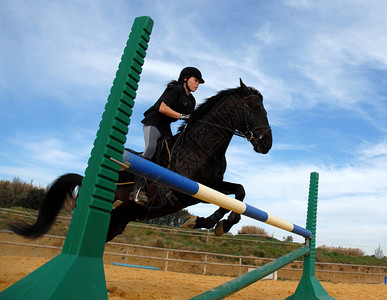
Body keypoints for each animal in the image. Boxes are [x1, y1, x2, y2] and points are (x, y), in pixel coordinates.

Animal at [10, 79, 274, 241]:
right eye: (254, 108)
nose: (267, 143)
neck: (203, 147)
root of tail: (86, 179)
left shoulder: (211, 185)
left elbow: (238, 193)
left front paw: (217, 224)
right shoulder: (185, 193)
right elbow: (229, 200)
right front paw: (200, 221)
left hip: (118, 221)